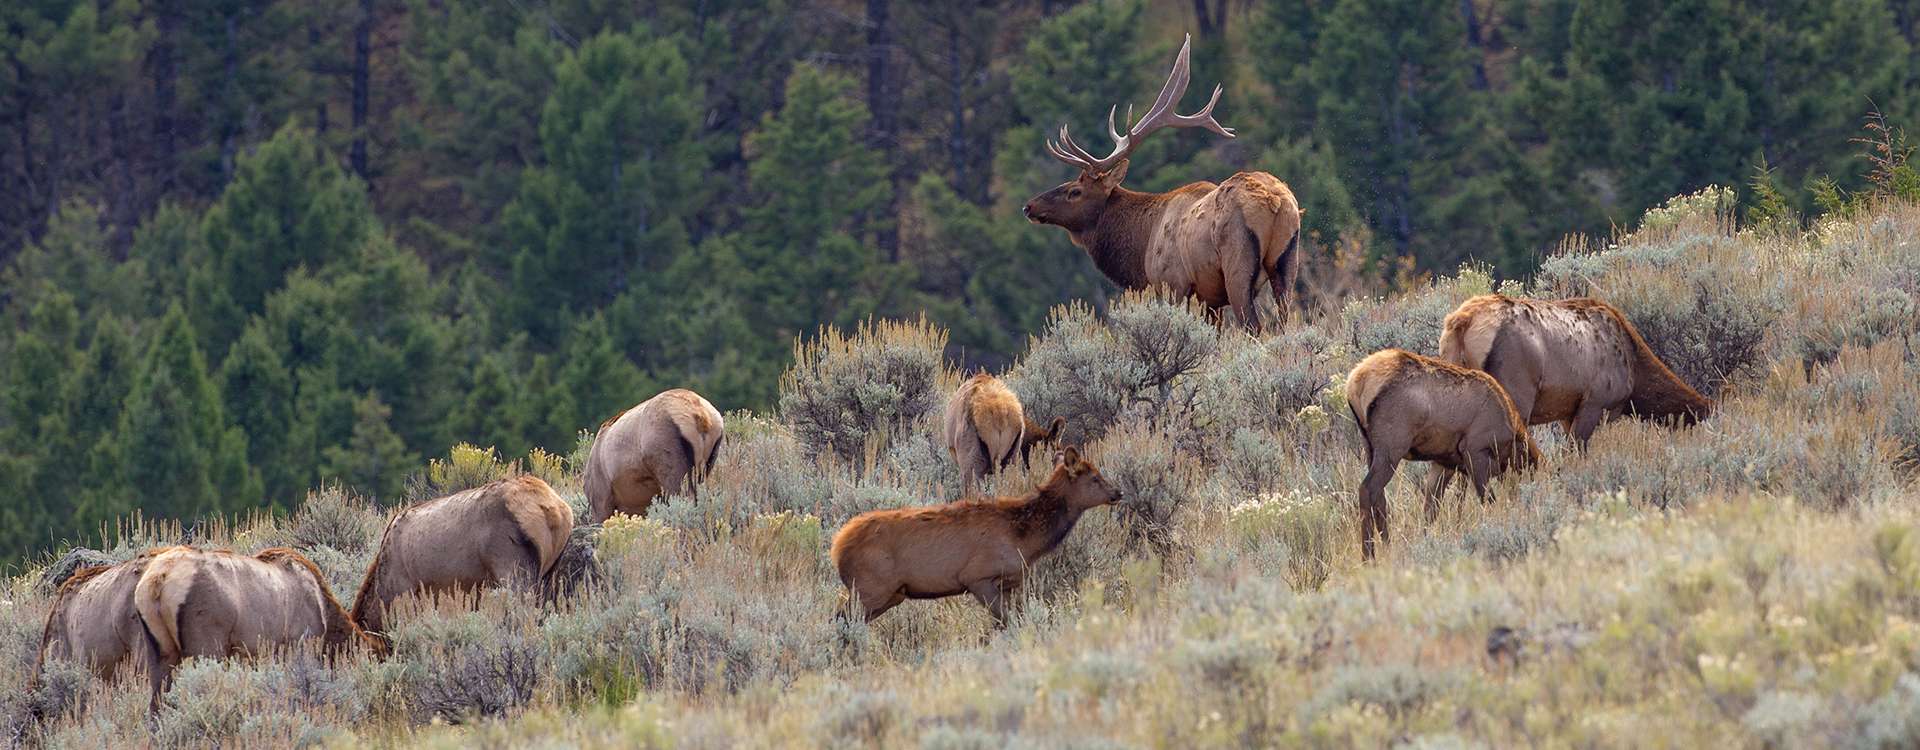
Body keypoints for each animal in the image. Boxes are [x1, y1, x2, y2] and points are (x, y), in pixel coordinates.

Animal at [829, 446, 1121, 629]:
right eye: (1095, 478)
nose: (1118, 492)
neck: (1026, 540)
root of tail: (838, 547)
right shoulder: (977, 577)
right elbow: (1005, 622)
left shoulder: (1010, 584)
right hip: (870, 588)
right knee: (840, 621)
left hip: (889, 594)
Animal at [1351, 351, 1543, 556]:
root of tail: (1354, 384)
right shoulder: (1475, 452)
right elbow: (1488, 499)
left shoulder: (1444, 463)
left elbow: (1431, 508)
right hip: (1391, 449)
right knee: (1367, 489)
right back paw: (1369, 555)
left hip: (1370, 448)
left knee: (1379, 498)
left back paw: (1387, 546)